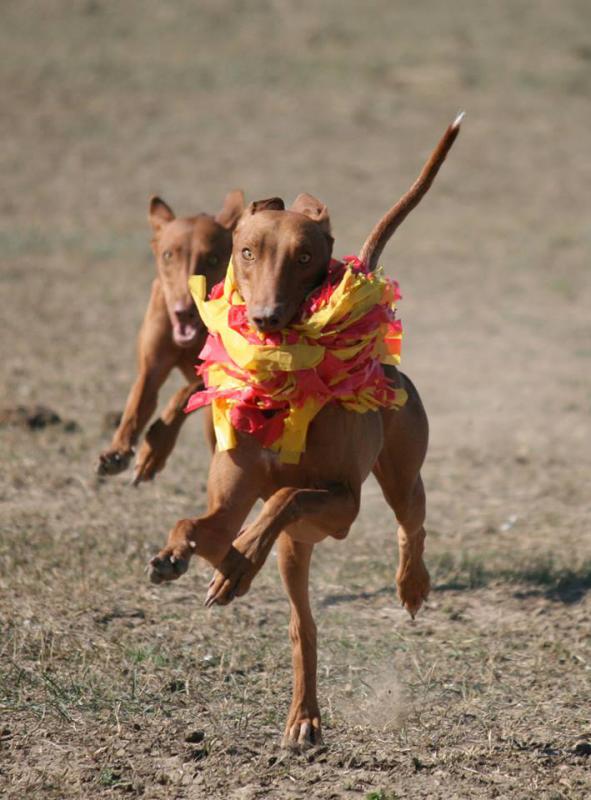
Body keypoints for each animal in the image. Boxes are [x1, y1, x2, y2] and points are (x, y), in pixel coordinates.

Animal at [97, 190, 244, 484]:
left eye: (213, 258)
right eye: (168, 255)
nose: (184, 309)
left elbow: (183, 395)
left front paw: (153, 452)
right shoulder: (151, 368)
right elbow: (136, 404)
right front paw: (118, 450)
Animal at [148, 116, 463, 746]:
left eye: (304, 256)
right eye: (246, 252)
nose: (265, 317)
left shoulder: (343, 504)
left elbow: (287, 495)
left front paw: (239, 556)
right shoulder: (234, 496)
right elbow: (201, 523)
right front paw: (189, 557)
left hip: (390, 483)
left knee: (410, 523)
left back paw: (411, 585)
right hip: (299, 552)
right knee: (303, 628)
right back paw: (302, 714)